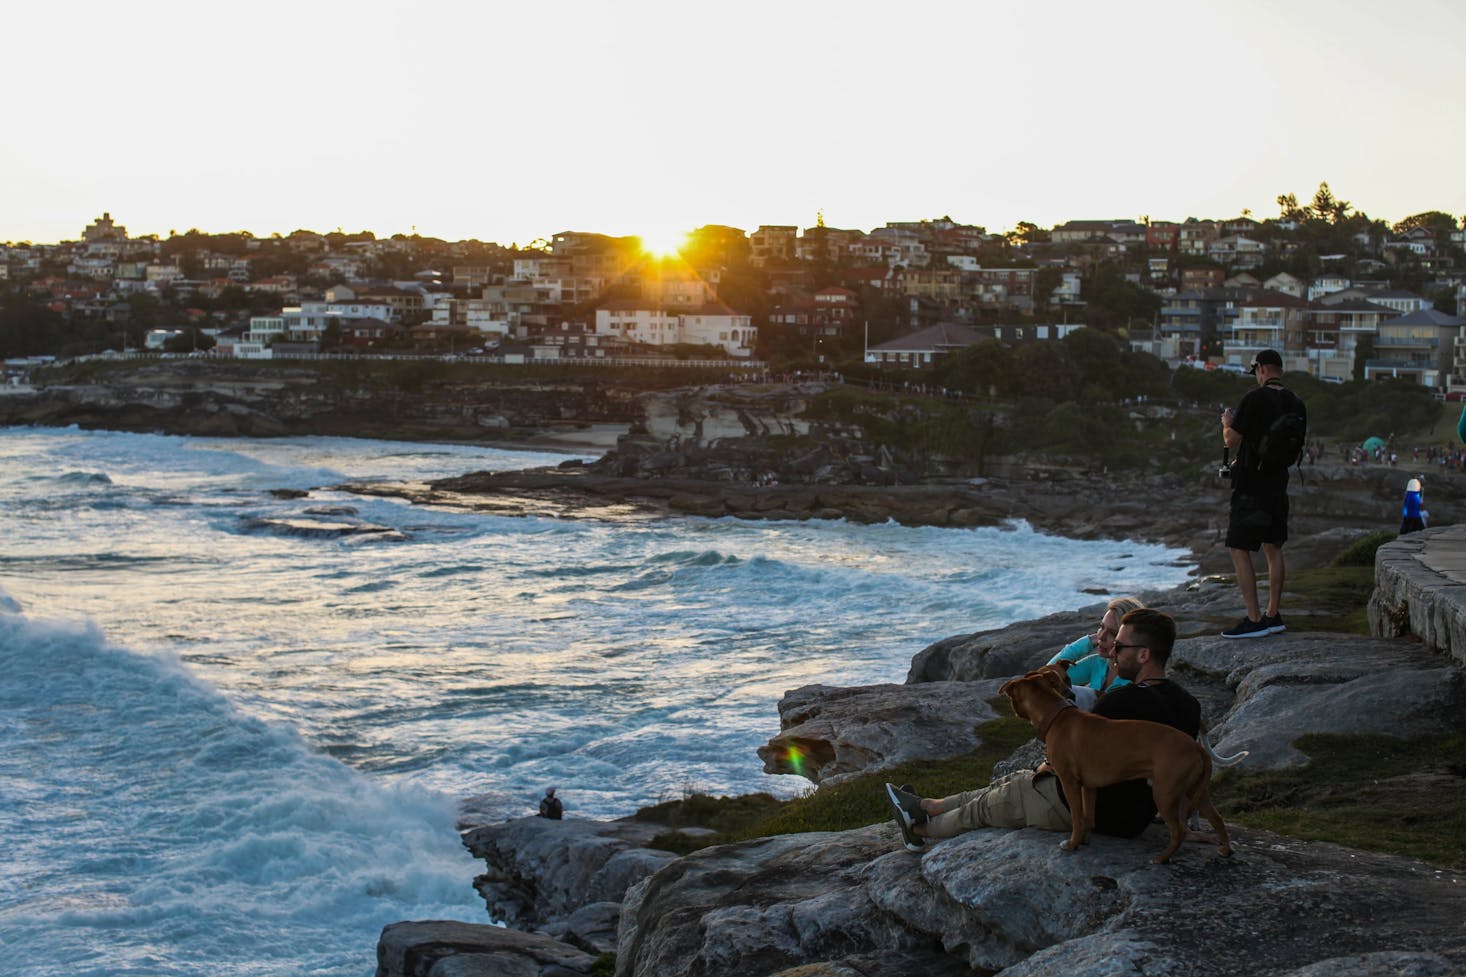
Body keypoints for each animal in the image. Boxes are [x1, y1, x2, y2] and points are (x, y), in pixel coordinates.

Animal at [1002, 666, 1231, 856]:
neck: (1057, 714)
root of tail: (1196, 747)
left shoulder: (1070, 783)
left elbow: (1077, 818)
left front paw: (1072, 844)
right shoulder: (1089, 786)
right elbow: (1088, 818)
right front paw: (1084, 841)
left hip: (1164, 793)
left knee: (1179, 831)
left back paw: (1161, 859)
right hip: (1195, 791)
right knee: (1217, 819)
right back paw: (1225, 851)